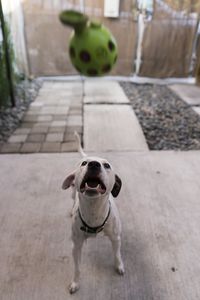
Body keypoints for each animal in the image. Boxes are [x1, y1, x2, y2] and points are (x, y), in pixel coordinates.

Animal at [61, 133, 124, 292]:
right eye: (84, 164)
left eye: (107, 165)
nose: (94, 164)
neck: (93, 210)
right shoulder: (76, 246)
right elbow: (77, 268)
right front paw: (75, 282)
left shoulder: (116, 238)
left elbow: (117, 254)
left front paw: (119, 266)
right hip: (72, 193)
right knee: (72, 199)